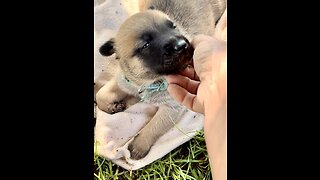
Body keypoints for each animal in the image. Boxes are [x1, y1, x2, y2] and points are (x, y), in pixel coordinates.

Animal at [96, 0, 226, 160]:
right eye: (146, 45)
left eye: (174, 26)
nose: (182, 45)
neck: (149, 82)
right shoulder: (123, 81)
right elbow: (101, 94)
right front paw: (112, 106)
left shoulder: (172, 108)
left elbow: (155, 126)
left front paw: (139, 145)